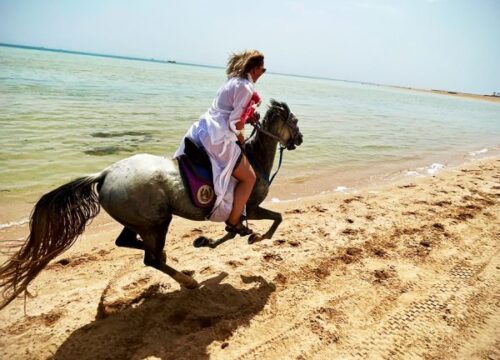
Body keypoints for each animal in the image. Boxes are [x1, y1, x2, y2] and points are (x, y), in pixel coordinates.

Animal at [0, 99, 302, 310]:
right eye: (295, 121)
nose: (299, 139)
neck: (253, 159)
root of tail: (105, 174)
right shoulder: (251, 208)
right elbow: (276, 218)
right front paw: (258, 237)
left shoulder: (238, 213)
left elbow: (233, 231)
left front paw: (212, 241)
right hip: (156, 221)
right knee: (151, 258)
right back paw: (187, 280)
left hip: (141, 221)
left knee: (127, 243)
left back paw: (171, 259)